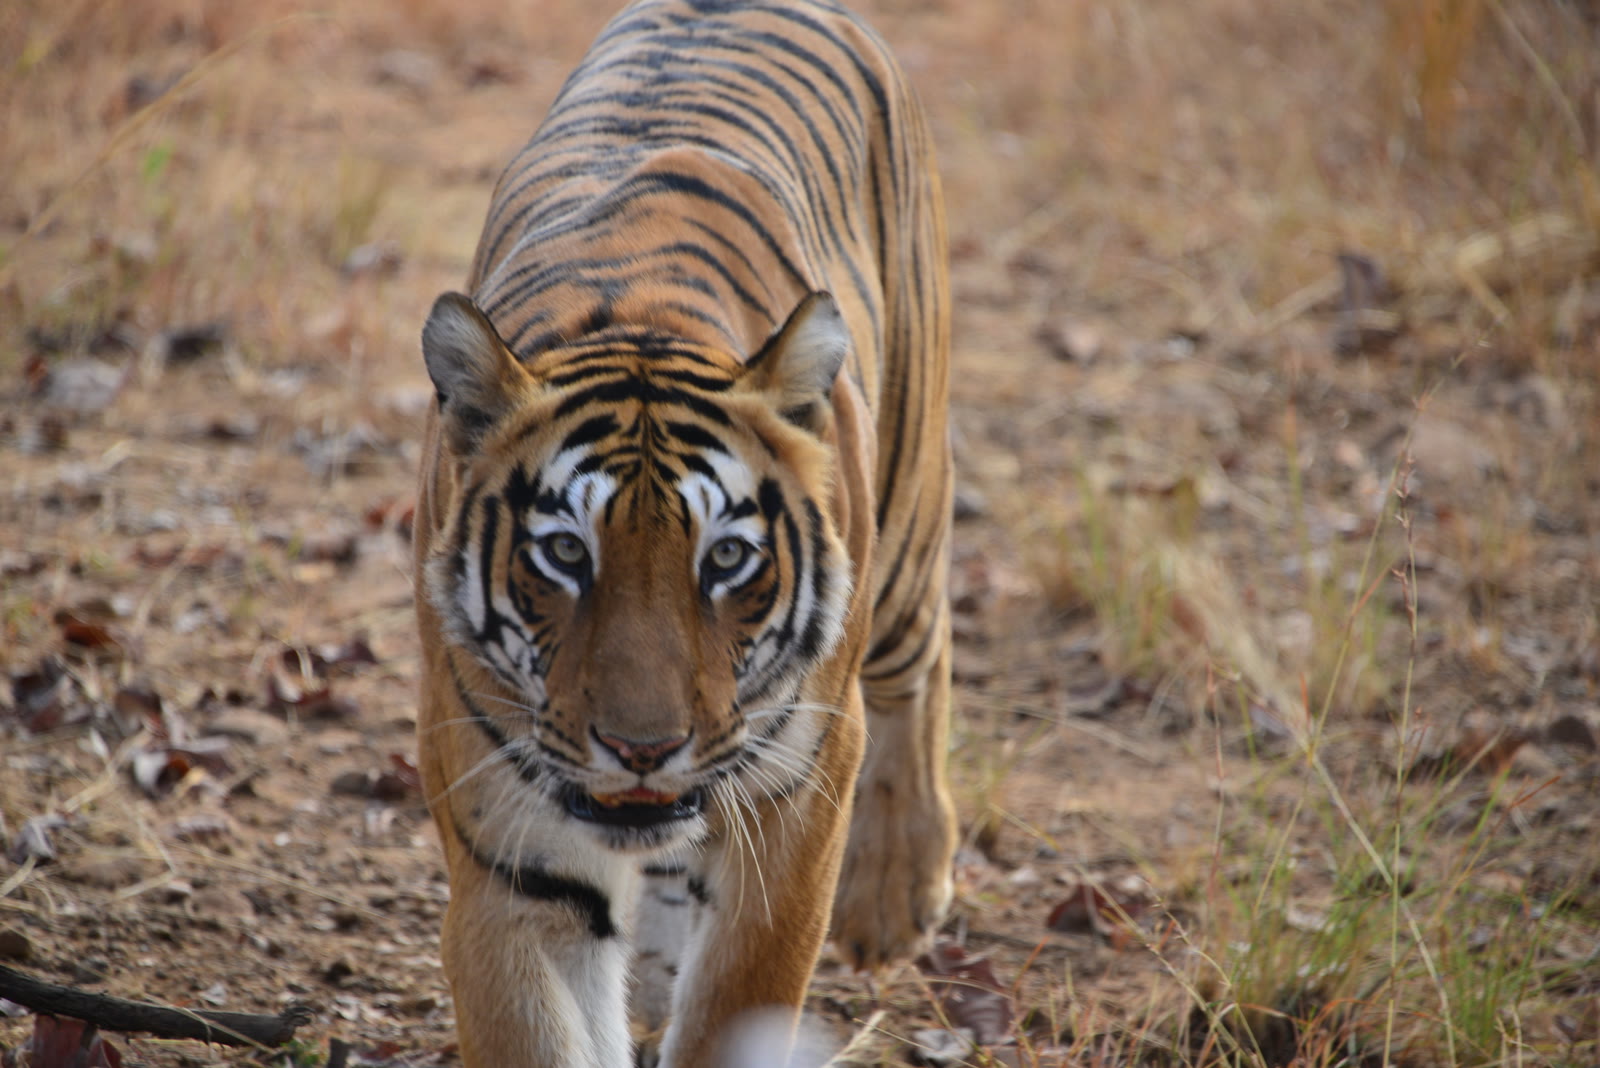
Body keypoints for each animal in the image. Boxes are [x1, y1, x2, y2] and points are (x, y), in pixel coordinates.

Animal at [411, 0, 955, 1063]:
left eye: (728, 559)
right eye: (565, 553)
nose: (643, 749)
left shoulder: (794, 809)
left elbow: (738, 1004)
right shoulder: (515, 864)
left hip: (908, 524)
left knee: (924, 654)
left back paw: (895, 892)